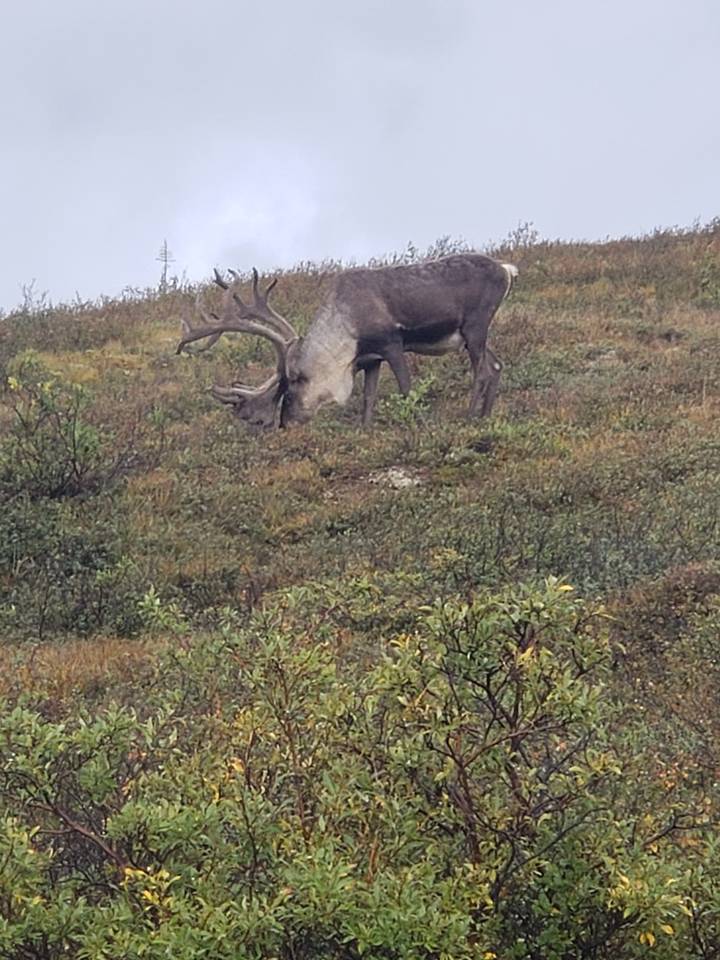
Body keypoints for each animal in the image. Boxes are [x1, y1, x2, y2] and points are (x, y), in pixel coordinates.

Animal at [176, 253, 518, 429]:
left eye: (291, 387)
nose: (286, 424)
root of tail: (507, 269)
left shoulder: (391, 344)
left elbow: (406, 388)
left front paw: (417, 424)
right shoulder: (371, 359)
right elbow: (368, 397)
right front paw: (365, 431)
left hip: (475, 327)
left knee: (483, 370)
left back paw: (470, 417)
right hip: (473, 336)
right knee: (497, 365)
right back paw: (485, 416)